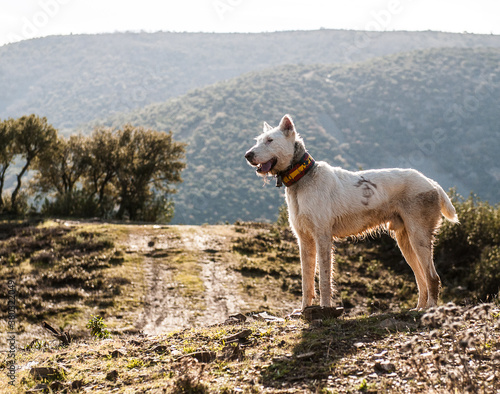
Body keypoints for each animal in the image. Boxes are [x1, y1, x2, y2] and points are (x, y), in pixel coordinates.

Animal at [244, 114, 458, 310]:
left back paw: (430, 308)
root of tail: (431, 182)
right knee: (421, 278)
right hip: (405, 241)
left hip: (419, 237)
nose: (248, 155)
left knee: (432, 277)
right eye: (258, 140)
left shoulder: (323, 237)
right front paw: (304, 309)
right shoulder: (304, 240)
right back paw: (419, 307)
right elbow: (307, 281)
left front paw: (325, 308)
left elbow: (324, 279)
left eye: (270, 140)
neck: (303, 178)